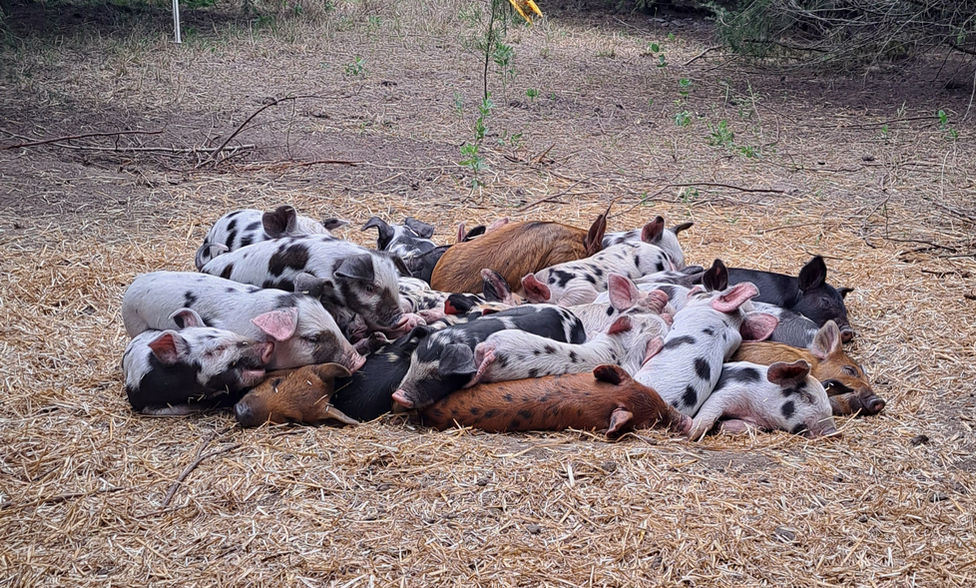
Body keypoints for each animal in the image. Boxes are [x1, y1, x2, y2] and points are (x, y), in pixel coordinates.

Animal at [688, 360, 837, 439]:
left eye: (829, 405)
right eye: (806, 396)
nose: (833, 432)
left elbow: (752, 427)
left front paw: (721, 425)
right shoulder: (728, 391)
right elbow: (708, 415)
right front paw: (689, 434)